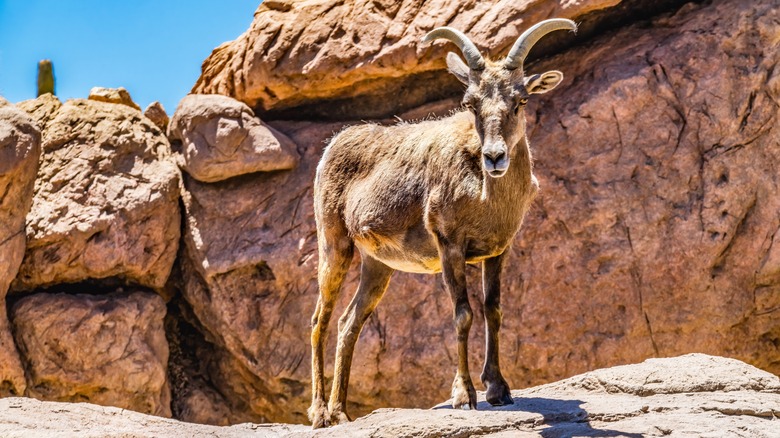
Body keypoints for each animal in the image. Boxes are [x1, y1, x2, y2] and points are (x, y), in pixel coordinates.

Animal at [308, 18, 576, 428]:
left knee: (348, 323)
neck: (485, 197)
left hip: (377, 266)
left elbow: (494, 310)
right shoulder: (450, 246)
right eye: (470, 103)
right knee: (319, 321)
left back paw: (341, 412)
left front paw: (498, 390)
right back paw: (320, 413)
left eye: (521, 100)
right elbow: (463, 314)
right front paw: (464, 396)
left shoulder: (497, 252)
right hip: (335, 246)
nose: (494, 157)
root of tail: (331, 148)